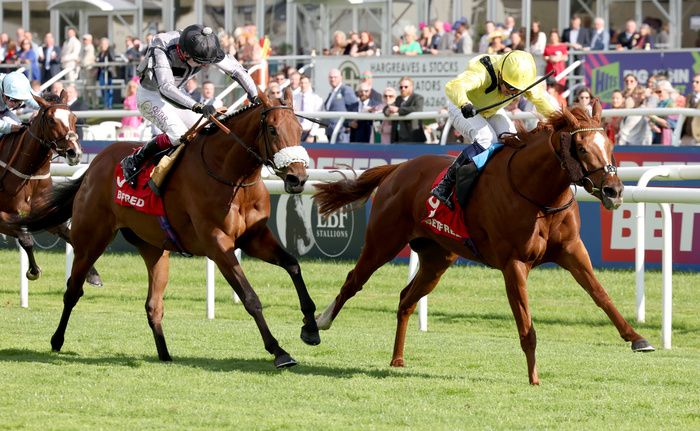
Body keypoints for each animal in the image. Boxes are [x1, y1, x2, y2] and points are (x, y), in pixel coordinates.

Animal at [0, 91, 102, 286]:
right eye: (51, 120)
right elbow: (26, 238)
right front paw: (33, 270)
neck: (29, 175)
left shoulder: (45, 214)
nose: (75, 153)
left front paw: (92, 274)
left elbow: (69, 234)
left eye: (74, 117)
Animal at [314, 100, 652, 384]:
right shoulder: (514, 263)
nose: (614, 191)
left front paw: (637, 338)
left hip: (436, 259)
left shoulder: (572, 251)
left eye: (610, 145)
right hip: (383, 241)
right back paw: (318, 324)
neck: (539, 195)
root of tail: (399, 168)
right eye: (581, 148)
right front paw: (534, 378)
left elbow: (601, 295)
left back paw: (397, 358)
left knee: (406, 298)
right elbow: (526, 324)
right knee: (353, 281)